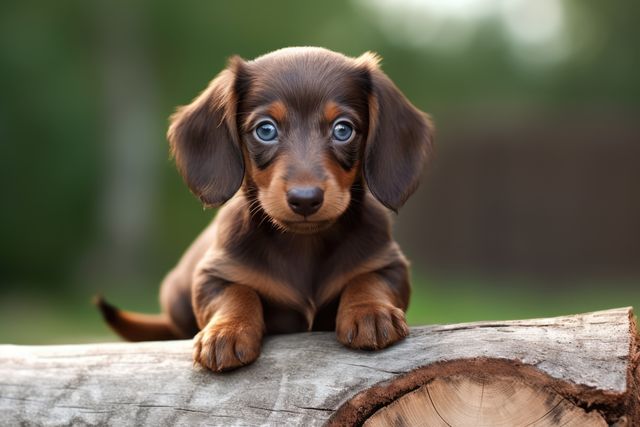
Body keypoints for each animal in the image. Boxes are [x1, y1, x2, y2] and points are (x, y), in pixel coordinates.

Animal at [96, 46, 436, 372]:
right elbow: (238, 293)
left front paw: (370, 312)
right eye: (266, 130)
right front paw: (227, 331)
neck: (304, 244)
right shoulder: (212, 276)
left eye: (343, 129)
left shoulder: (390, 264)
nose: (305, 199)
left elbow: (368, 279)